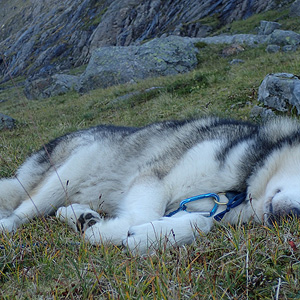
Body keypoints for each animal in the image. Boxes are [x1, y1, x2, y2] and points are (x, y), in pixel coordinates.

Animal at [0, 117, 300, 253]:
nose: (293, 216)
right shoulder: (155, 174)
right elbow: (144, 214)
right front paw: (109, 233)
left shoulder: (211, 208)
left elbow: (202, 223)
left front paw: (150, 235)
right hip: (71, 167)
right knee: (25, 207)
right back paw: (10, 223)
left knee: (59, 207)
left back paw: (80, 215)